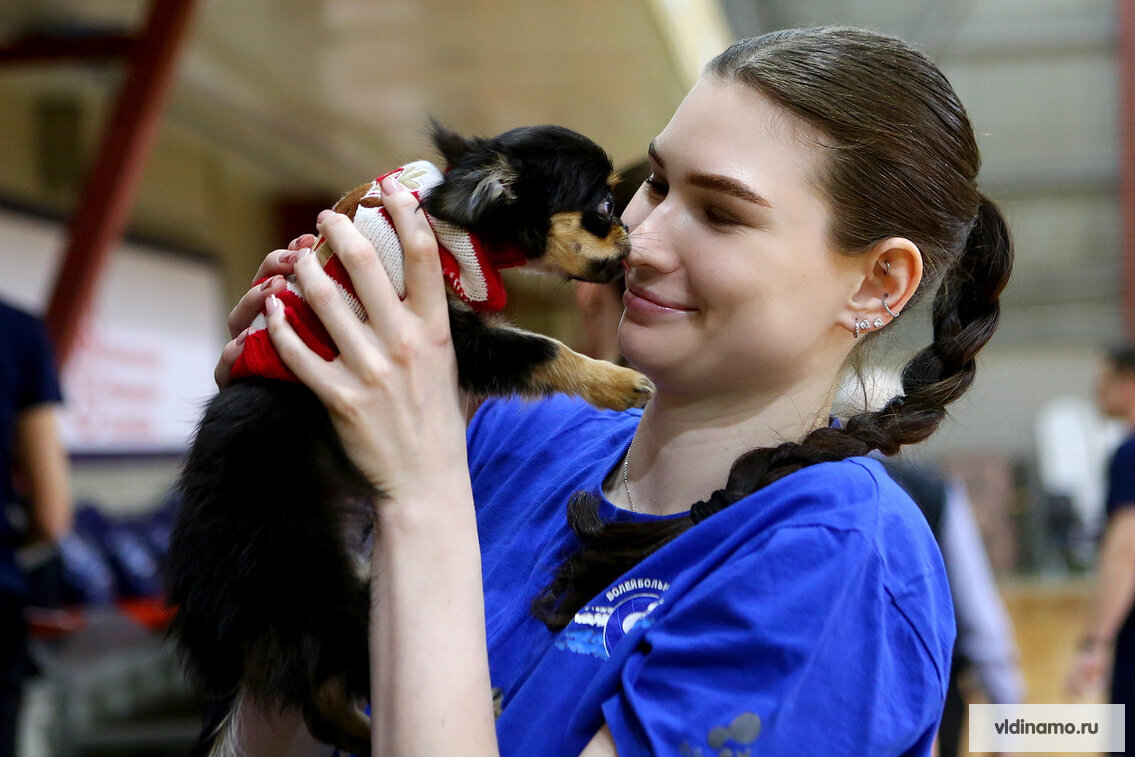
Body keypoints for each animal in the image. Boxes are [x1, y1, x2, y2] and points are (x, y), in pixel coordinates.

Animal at [165, 122, 653, 756]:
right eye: (603, 209)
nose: (630, 233)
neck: (455, 228)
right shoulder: (462, 337)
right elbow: (544, 348)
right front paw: (618, 381)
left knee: (319, 698)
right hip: (316, 589)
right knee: (332, 683)